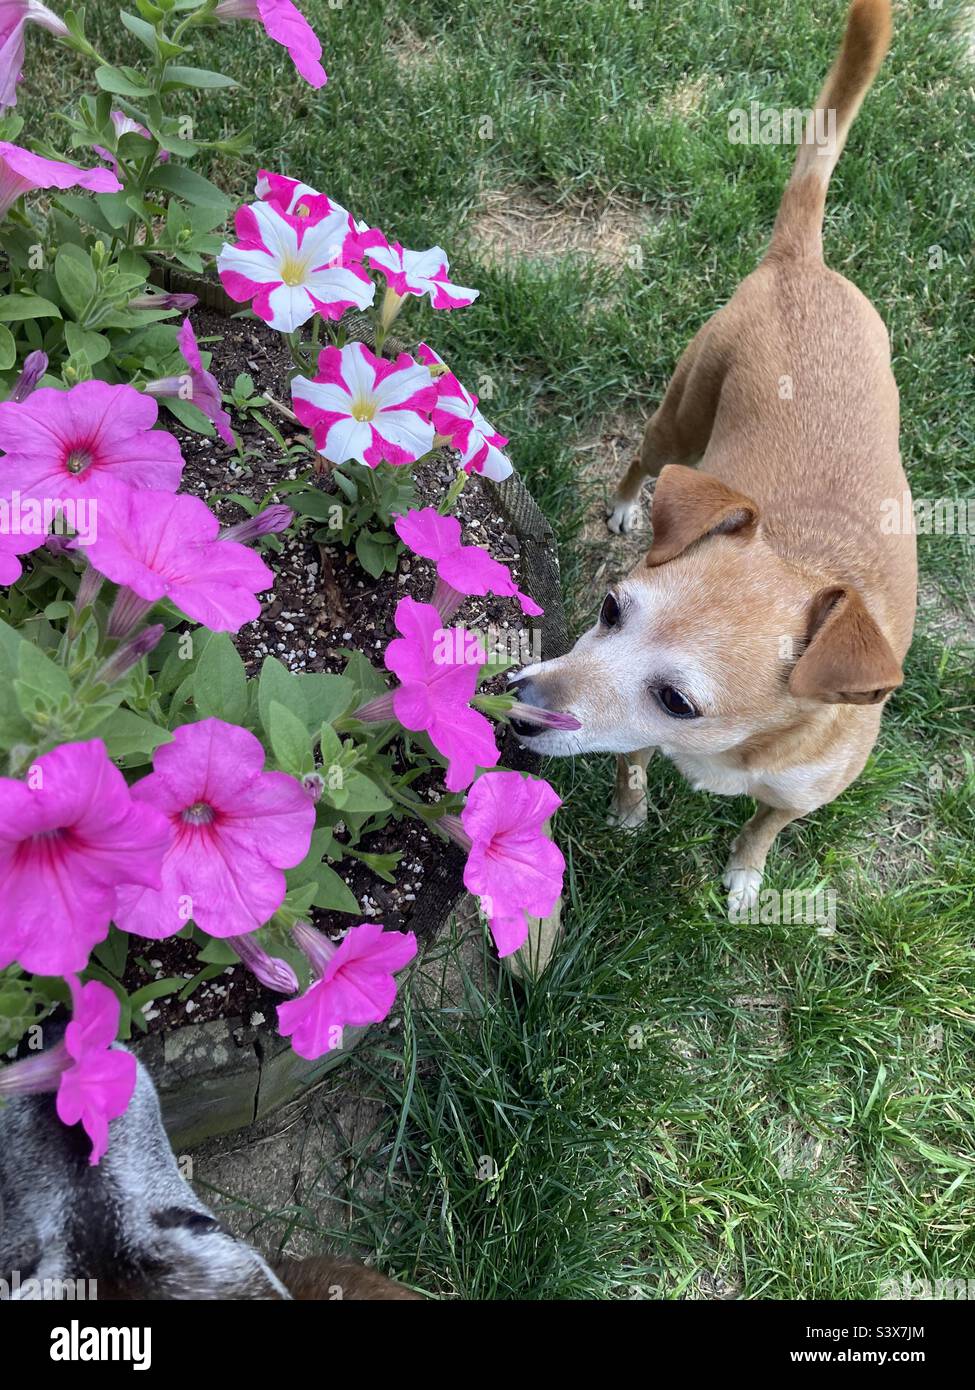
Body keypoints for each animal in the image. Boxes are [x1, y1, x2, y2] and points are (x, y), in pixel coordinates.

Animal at [514, 2, 917, 922]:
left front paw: (743, 876)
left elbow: (763, 826)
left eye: (677, 699)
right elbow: (629, 765)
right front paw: (630, 812)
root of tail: (801, 265)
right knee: (644, 457)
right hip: (681, 414)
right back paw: (628, 502)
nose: (517, 705)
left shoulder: (795, 792)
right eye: (608, 607)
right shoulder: (632, 741)